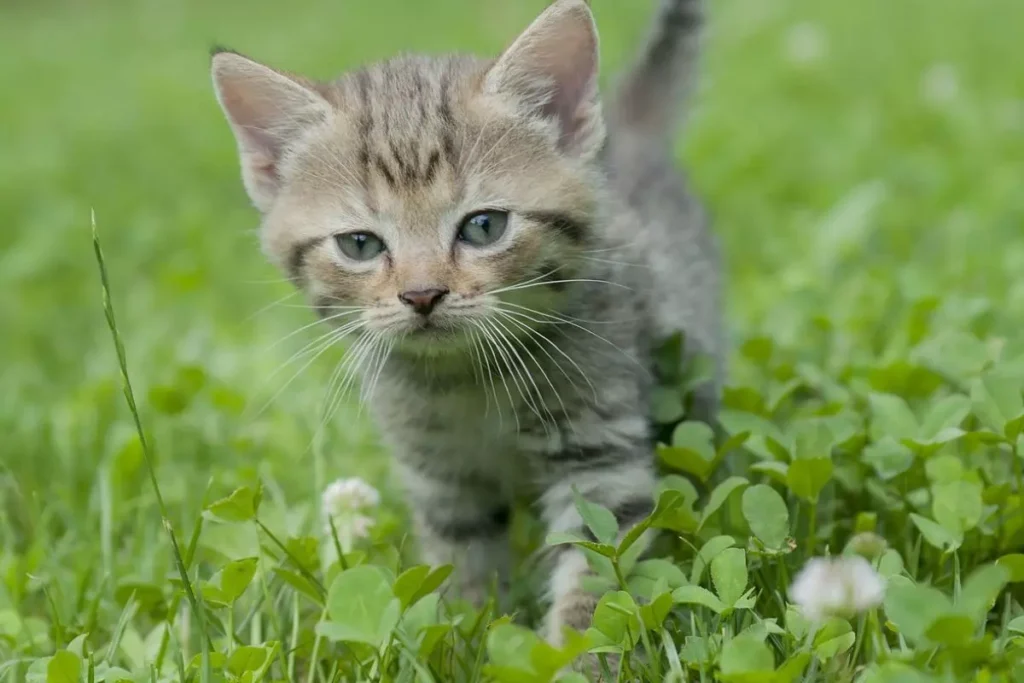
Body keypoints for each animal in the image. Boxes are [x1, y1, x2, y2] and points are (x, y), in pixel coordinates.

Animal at [209, 0, 720, 651]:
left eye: (483, 227)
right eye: (360, 244)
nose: (422, 294)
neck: (468, 382)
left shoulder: (599, 457)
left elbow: (596, 578)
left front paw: (578, 657)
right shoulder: (440, 480)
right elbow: (461, 571)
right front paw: (463, 640)